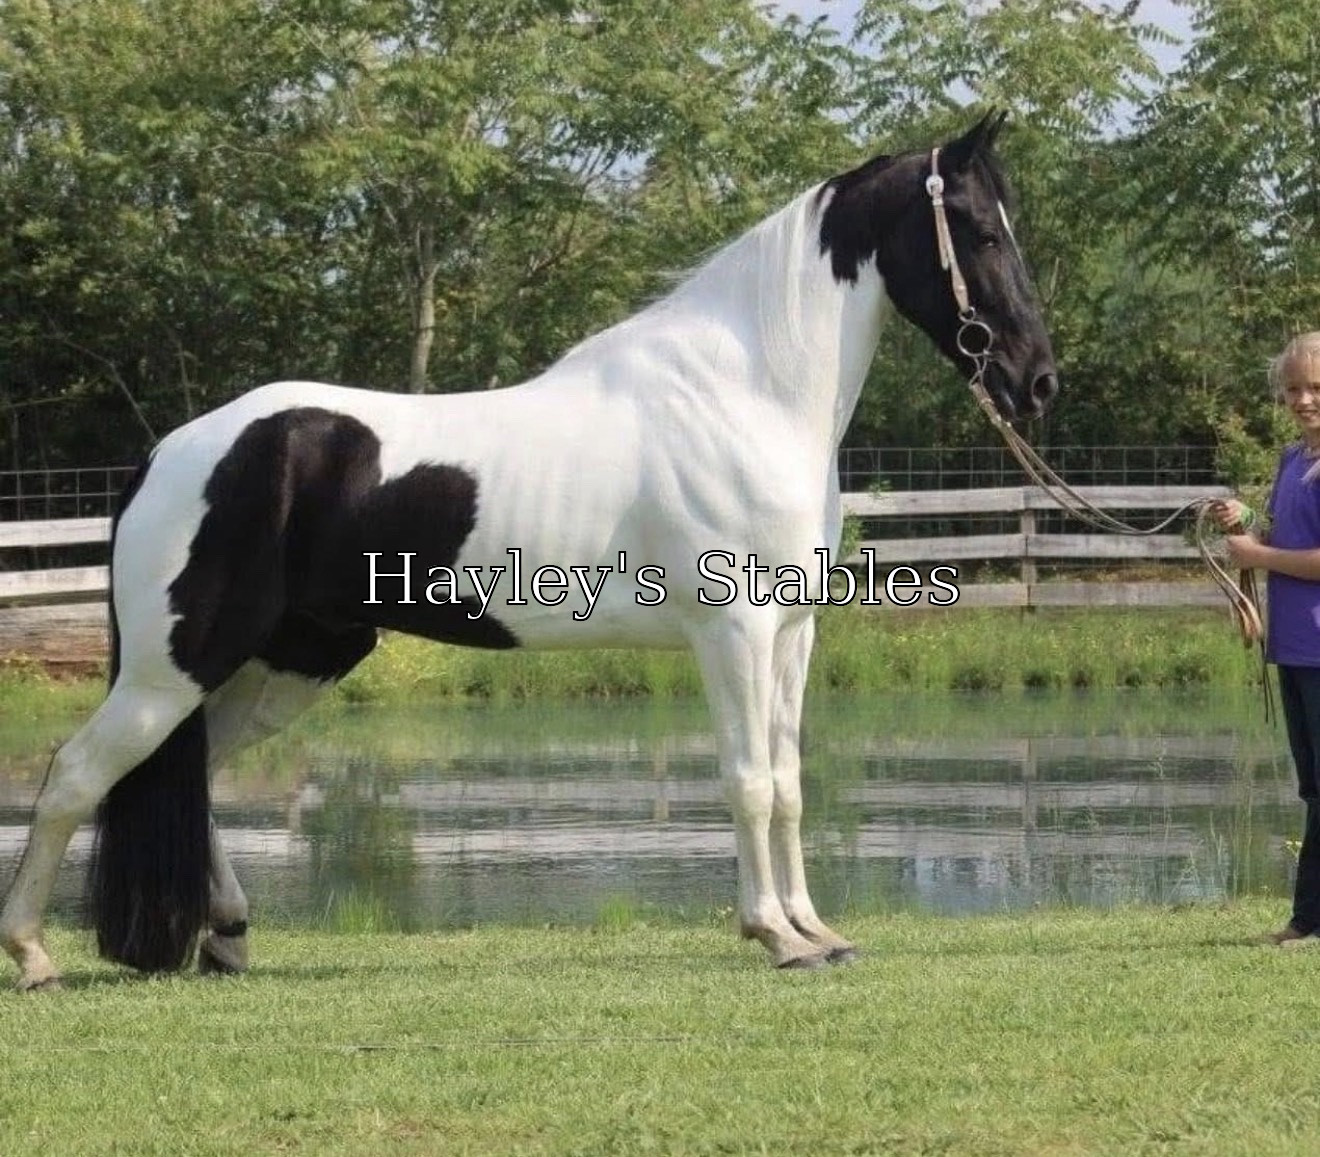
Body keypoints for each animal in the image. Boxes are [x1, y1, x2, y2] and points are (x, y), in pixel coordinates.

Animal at [1, 111, 1057, 990]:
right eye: (980, 230)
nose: (1036, 379)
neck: (748, 392)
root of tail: (168, 456)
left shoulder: (791, 633)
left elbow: (791, 783)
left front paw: (815, 929)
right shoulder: (734, 633)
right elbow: (749, 781)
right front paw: (773, 935)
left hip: (287, 662)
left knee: (195, 773)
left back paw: (224, 934)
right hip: (175, 667)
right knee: (76, 774)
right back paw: (35, 955)